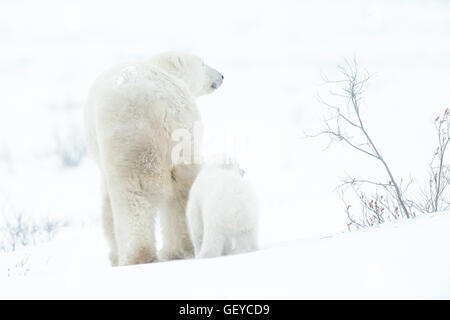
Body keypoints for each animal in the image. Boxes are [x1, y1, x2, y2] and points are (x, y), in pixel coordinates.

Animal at [83, 52, 224, 264]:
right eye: (202, 63)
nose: (221, 76)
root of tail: (159, 104)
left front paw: (113, 256)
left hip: (131, 143)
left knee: (134, 196)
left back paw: (138, 256)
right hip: (182, 138)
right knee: (183, 192)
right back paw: (180, 250)